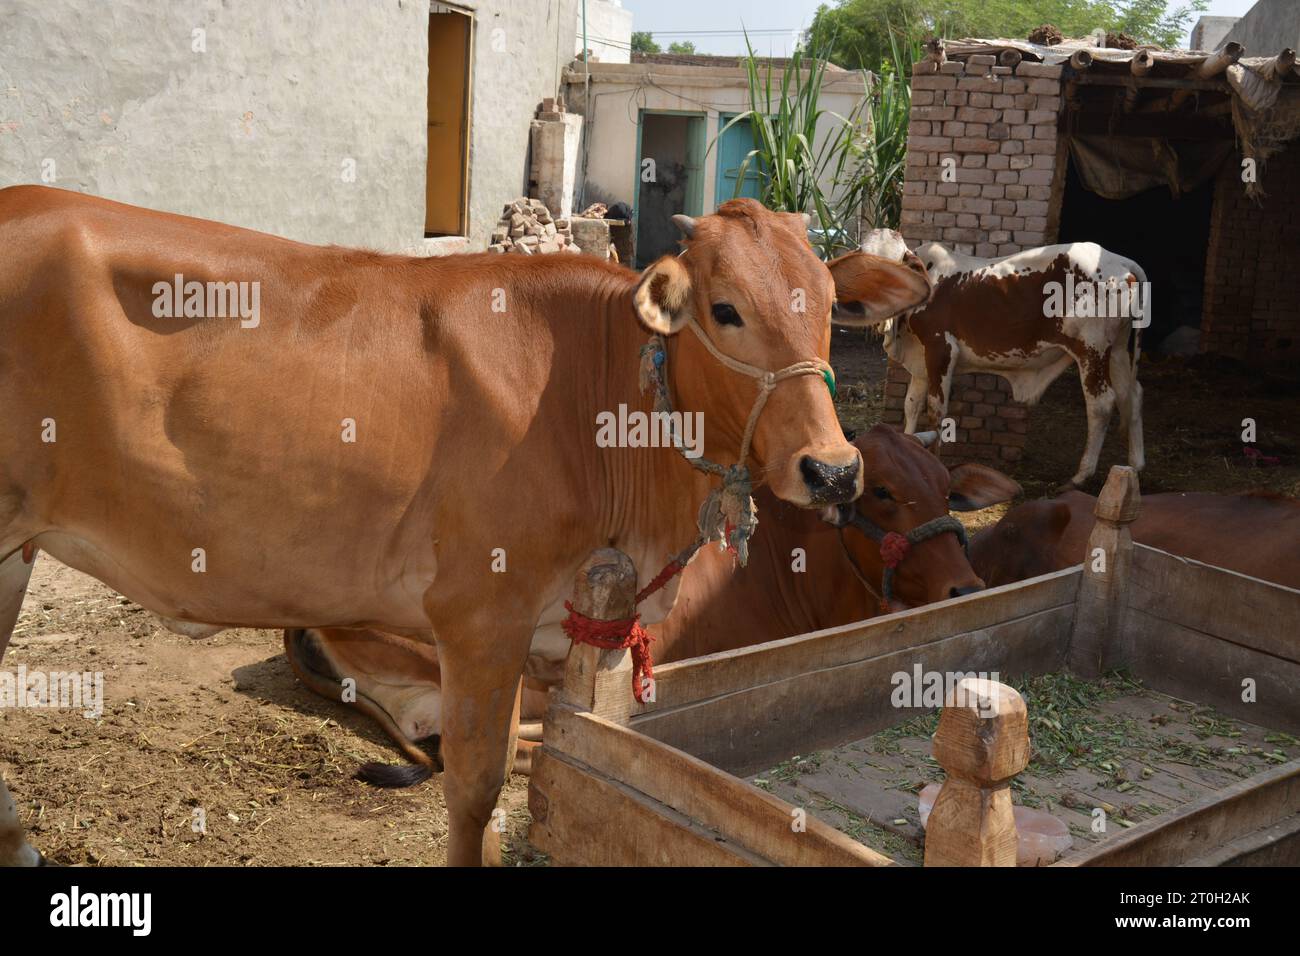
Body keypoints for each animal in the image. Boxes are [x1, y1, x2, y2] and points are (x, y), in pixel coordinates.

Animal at [864, 230, 1147, 489]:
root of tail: (1122, 262)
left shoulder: (940, 349)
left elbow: (936, 412)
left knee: (1101, 404)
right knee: (1132, 394)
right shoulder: (921, 364)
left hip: (1092, 349)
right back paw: (1135, 465)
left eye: (893, 266)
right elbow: (911, 405)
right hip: (1117, 350)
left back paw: (1080, 476)